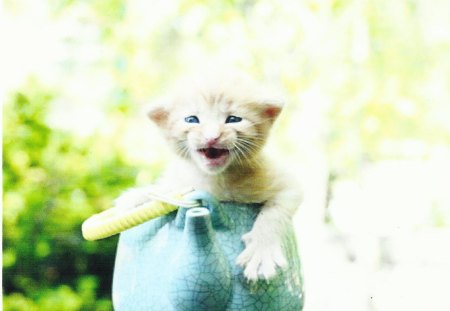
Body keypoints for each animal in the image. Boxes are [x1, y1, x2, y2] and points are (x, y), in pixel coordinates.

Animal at [114, 71, 300, 282]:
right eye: (191, 120)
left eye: (233, 119)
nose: (212, 136)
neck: (215, 178)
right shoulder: (182, 181)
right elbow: (164, 190)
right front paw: (135, 198)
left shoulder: (287, 184)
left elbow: (274, 214)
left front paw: (261, 251)